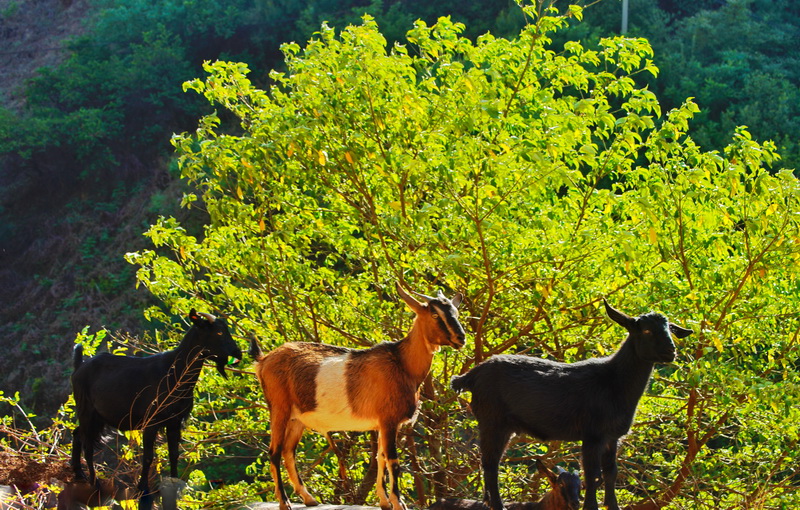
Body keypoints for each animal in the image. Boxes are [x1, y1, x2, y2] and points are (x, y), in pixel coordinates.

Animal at [69, 308, 241, 504]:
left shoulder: (174, 421)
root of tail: (79, 366)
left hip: (97, 416)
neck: (175, 372)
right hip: (86, 410)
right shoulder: (151, 422)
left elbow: (174, 453)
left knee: (77, 434)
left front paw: (175, 486)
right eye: (218, 332)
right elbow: (148, 457)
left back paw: (79, 474)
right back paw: (94, 483)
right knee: (87, 444)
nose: (238, 353)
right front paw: (143, 490)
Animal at [247, 282, 466, 510]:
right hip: (279, 408)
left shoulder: (381, 424)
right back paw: (285, 502)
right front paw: (398, 503)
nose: (461, 338)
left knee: (288, 452)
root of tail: (264, 360)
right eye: (435, 314)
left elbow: (380, 457)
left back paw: (309, 499)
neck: (402, 363)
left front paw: (384, 501)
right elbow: (393, 461)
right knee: (274, 452)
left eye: (456, 312)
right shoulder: (389, 420)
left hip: (297, 418)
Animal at [454, 298, 692, 510]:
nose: (671, 351)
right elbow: (592, 474)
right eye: (647, 331)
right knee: (490, 463)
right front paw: (591, 507)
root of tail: (471, 375)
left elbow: (610, 472)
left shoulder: (612, 436)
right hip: (493, 420)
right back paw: (497, 504)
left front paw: (612, 505)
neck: (613, 381)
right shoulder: (592, 434)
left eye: (670, 329)